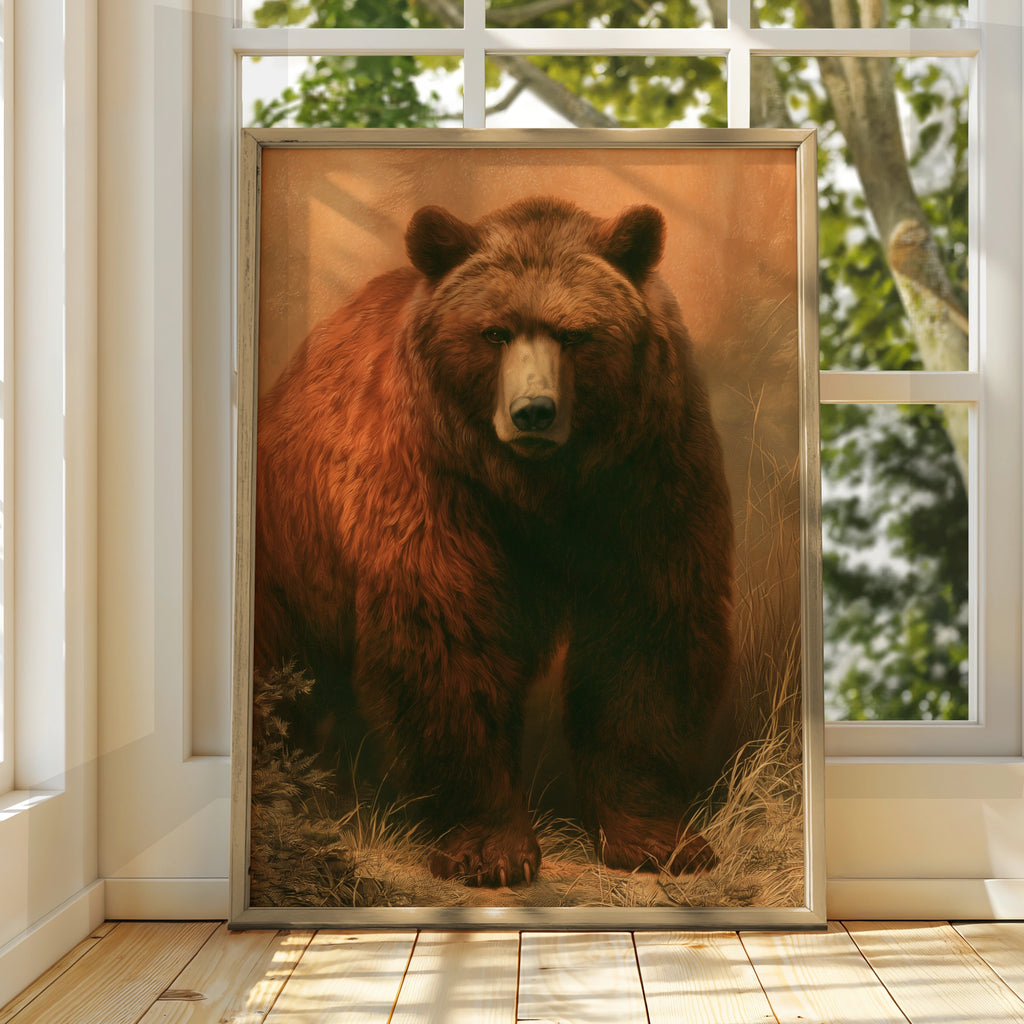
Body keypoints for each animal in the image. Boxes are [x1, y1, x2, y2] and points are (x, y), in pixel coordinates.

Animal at [252, 196, 735, 888]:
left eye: (575, 333)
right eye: (494, 332)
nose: (533, 410)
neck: (541, 484)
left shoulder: (649, 475)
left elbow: (648, 632)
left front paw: (657, 839)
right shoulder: (436, 479)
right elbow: (448, 639)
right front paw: (490, 850)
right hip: (290, 550)